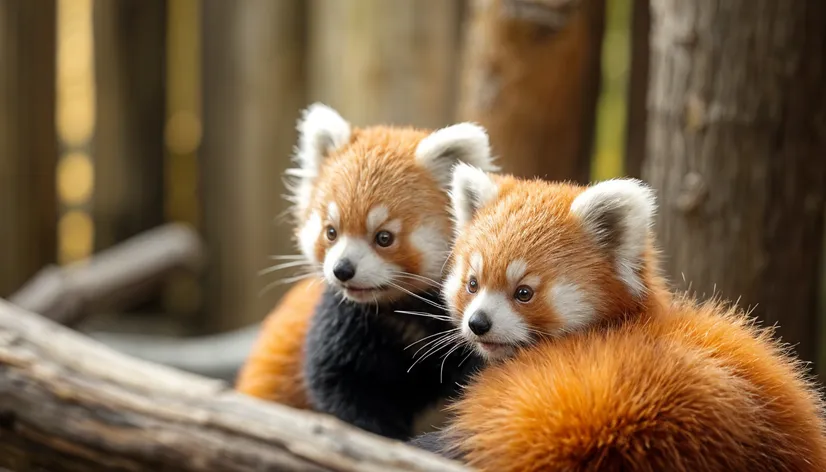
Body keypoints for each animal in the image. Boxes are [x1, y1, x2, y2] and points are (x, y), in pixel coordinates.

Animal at [237, 105, 496, 440]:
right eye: (331, 232)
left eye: (384, 237)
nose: (342, 270)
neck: (405, 315)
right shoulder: (341, 325)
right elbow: (340, 386)